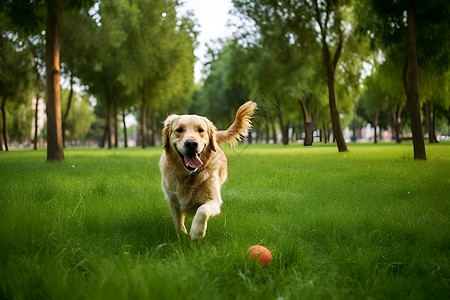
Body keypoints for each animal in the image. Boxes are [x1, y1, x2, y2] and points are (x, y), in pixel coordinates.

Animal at [159, 102, 256, 240]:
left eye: (201, 130)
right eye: (179, 130)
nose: (191, 144)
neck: (189, 175)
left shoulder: (214, 200)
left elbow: (202, 210)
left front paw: (196, 232)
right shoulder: (173, 201)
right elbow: (178, 222)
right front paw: (182, 235)